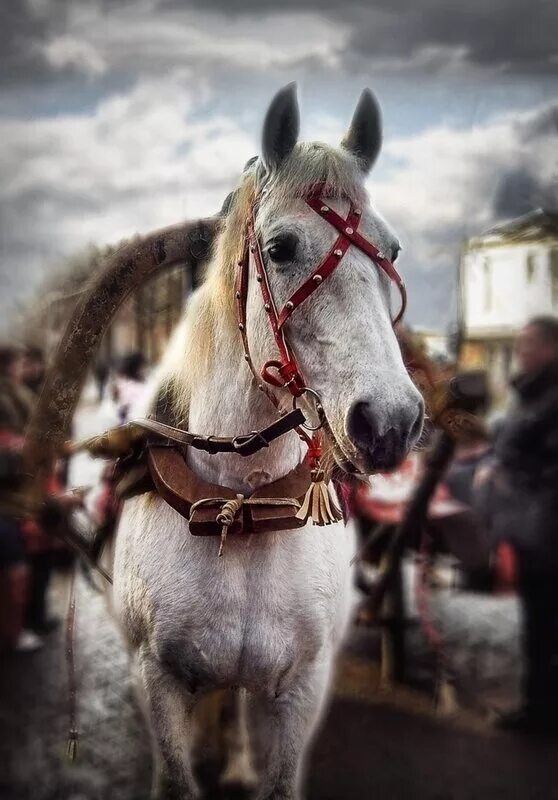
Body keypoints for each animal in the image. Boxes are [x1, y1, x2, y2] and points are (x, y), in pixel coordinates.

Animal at [112, 84, 424, 796]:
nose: (390, 421)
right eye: (280, 248)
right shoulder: (157, 679)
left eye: (391, 251)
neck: (245, 503)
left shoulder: (304, 687)